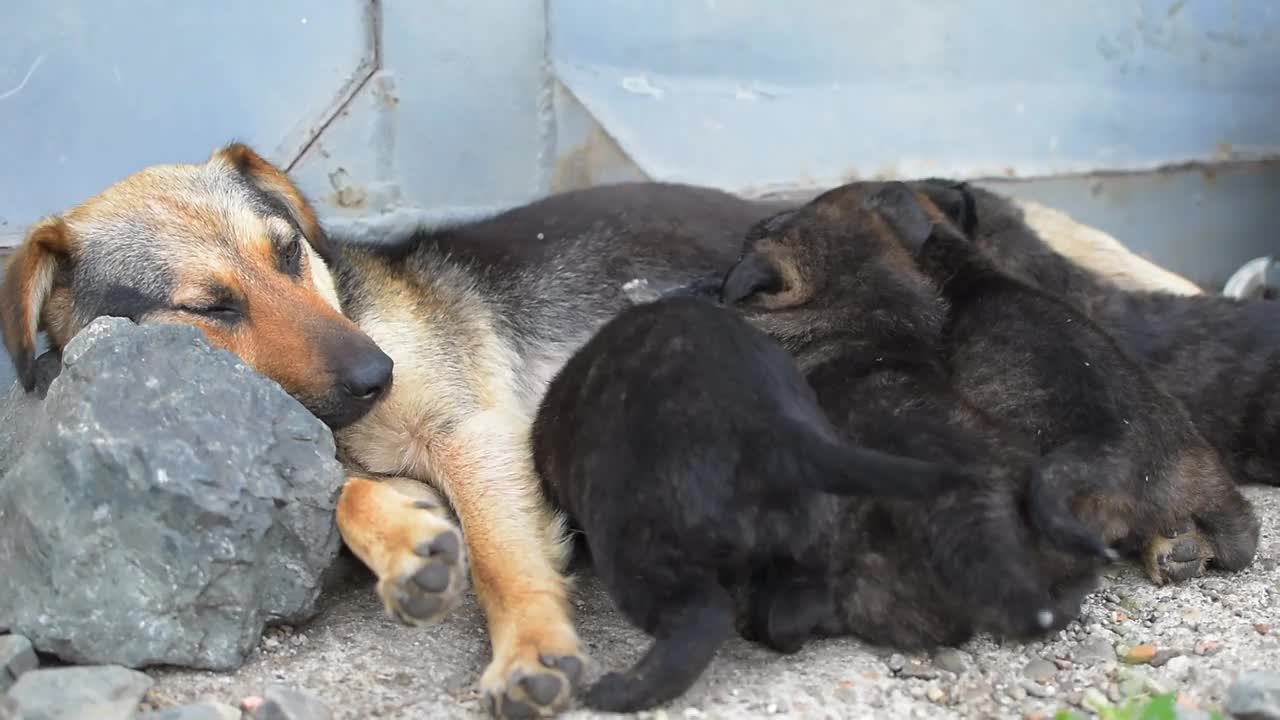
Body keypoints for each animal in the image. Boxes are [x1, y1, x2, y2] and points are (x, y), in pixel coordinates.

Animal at [529, 294, 967, 707]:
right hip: (811, 543)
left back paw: (623, 691)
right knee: (795, 608)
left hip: (638, 548)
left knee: (702, 618)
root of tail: (773, 431)